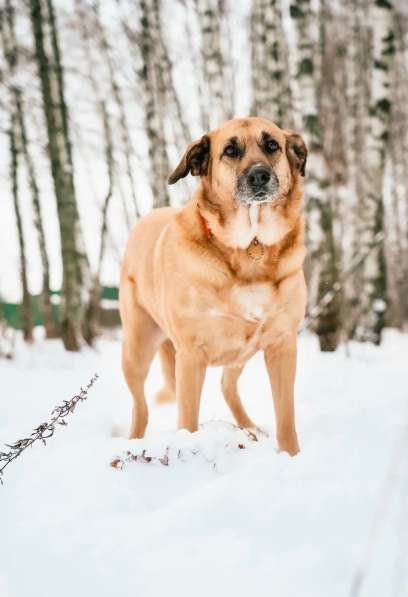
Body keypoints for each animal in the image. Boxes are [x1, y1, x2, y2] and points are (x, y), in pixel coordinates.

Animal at [119, 116, 308, 456]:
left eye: (272, 145)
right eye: (230, 151)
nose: (259, 175)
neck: (250, 245)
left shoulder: (282, 345)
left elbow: (286, 416)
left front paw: (290, 456)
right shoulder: (191, 355)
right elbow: (187, 421)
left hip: (242, 351)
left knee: (227, 385)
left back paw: (250, 429)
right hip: (137, 349)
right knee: (140, 407)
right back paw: (135, 441)